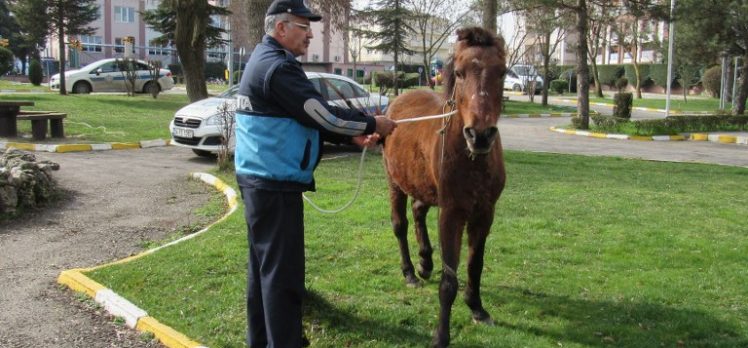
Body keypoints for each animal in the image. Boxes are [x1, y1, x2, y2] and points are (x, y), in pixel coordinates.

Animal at [382, 26, 506, 346]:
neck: (471, 159)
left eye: (502, 72)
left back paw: (425, 262)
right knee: (400, 224)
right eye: (460, 73)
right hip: (395, 183)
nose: (480, 135)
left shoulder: (485, 214)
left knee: (418, 210)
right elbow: (449, 279)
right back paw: (411, 272)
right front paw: (441, 334)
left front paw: (477, 308)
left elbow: (475, 265)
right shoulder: (451, 215)